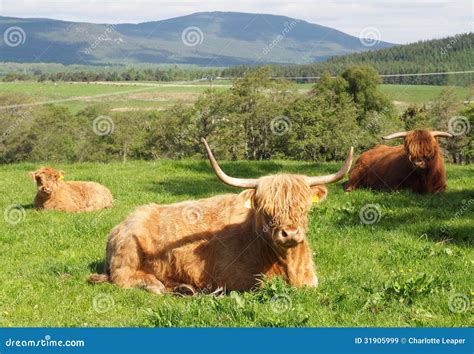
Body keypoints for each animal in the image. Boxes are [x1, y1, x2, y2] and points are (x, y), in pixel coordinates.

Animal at [89, 140, 352, 294]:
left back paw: (183, 287)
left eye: (303, 207)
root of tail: (121, 224)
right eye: (265, 209)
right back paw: (157, 285)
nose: (289, 233)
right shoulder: (238, 280)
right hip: (128, 256)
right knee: (125, 278)